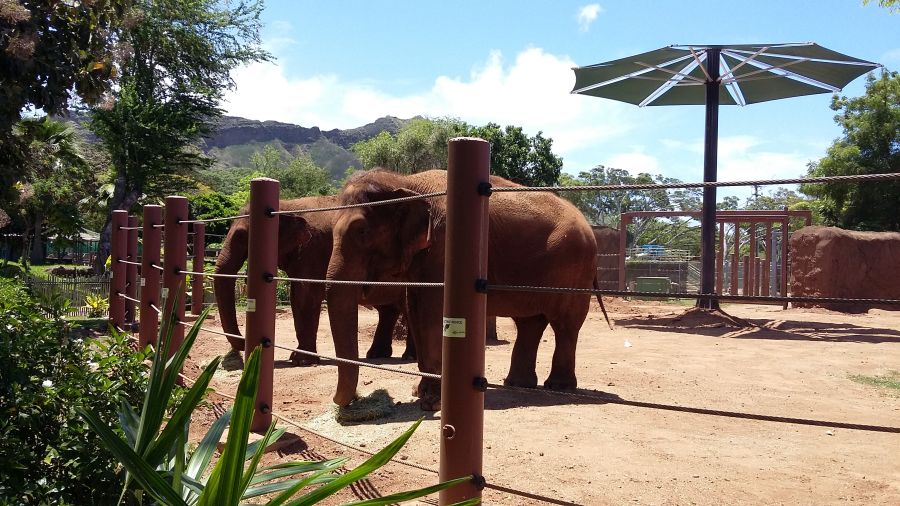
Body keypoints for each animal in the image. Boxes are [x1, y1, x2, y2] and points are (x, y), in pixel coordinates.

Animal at [211, 196, 412, 370]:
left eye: (242, 237)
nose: (243, 343)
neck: (287, 204)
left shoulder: (313, 250)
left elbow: (305, 296)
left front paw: (302, 361)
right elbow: (297, 297)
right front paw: (297, 358)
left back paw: (408, 356)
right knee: (388, 310)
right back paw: (377, 355)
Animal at [324, 170, 596, 412]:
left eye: (362, 231)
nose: (351, 401)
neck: (406, 181)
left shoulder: (445, 246)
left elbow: (433, 312)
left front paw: (432, 402)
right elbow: (415, 308)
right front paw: (419, 392)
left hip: (574, 269)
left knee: (565, 324)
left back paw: (558, 386)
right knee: (530, 323)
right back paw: (518, 384)